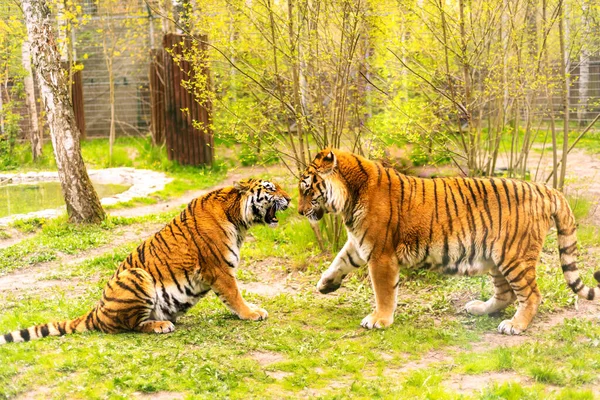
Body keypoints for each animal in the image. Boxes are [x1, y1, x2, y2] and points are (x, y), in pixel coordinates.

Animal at [0, 178, 290, 344]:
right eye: (271, 189)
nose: (289, 198)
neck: (238, 218)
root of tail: (96, 311)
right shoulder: (219, 269)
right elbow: (235, 295)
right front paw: (251, 313)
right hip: (136, 276)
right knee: (127, 327)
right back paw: (161, 325)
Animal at [298, 148, 600, 336]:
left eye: (307, 189)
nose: (300, 212)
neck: (349, 198)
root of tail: (545, 188)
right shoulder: (360, 244)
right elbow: (339, 261)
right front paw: (325, 284)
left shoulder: (380, 253)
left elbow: (383, 292)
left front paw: (379, 320)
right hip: (496, 257)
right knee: (506, 294)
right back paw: (479, 308)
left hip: (514, 256)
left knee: (531, 295)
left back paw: (515, 325)